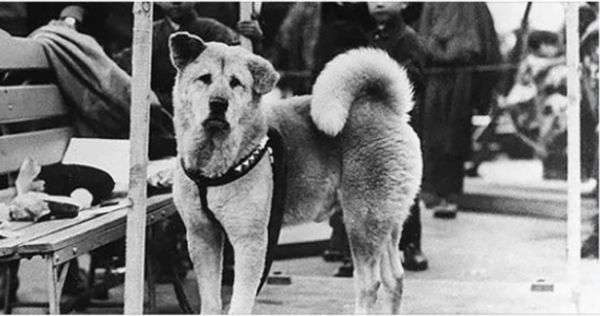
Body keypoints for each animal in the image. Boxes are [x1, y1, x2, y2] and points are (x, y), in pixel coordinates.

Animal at [169, 31, 422, 314]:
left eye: (236, 83)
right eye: (204, 78)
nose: (218, 103)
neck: (213, 163)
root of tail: (386, 108)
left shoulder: (250, 240)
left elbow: (240, 300)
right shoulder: (202, 236)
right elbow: (211, 300)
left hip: (362, 222)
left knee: (370, 283)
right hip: (385, 222)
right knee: (394, 278)